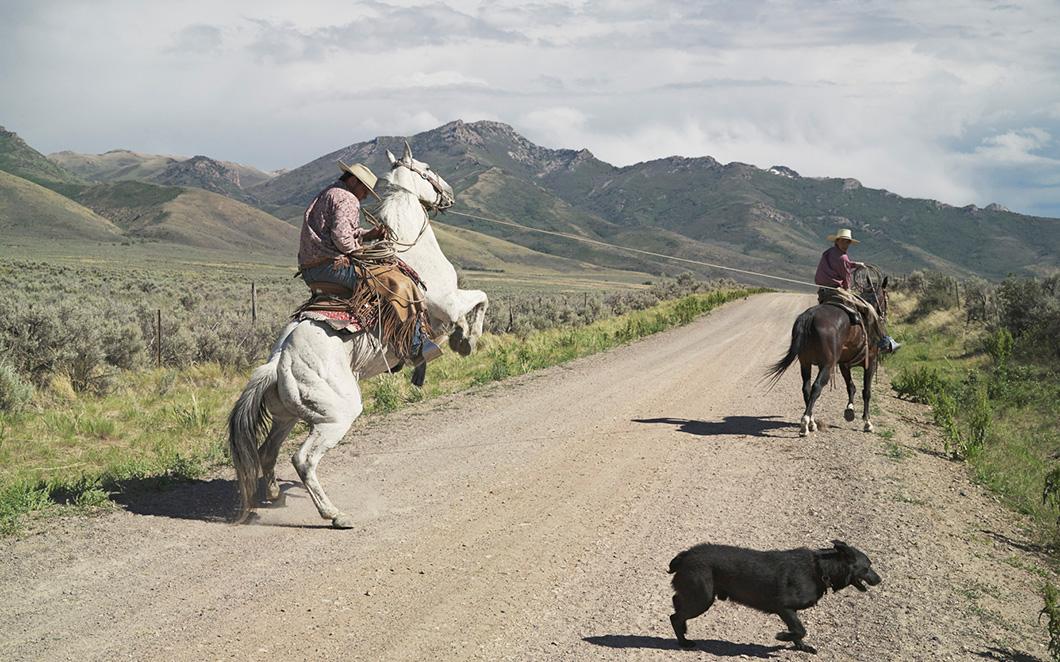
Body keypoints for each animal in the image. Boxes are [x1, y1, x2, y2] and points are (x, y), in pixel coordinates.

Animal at [665, 540, 881, 652]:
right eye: (867, 567)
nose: (879, 579)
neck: (820, 569)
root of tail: (686, 555)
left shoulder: (790, 612)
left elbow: (799, 632)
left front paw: (801, 647)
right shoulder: (784, 608)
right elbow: (800, 630)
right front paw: (783, 636)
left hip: (697, 596)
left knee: (677, 604)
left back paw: (684, 630)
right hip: (702, 599)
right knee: (675, 616)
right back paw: (683, 642)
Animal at [767, 275, 890, 436]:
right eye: (886, 297)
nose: (884, 314)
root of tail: (809, 316)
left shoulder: (844, 364)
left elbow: (851, 386)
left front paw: (850, 410)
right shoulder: (871, 362)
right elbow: (866, 392)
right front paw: (867, 422)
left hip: (805, 363)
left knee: (806, 388)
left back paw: (812, 422)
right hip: (827, 365)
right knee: (816, 387)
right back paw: (805, 423)